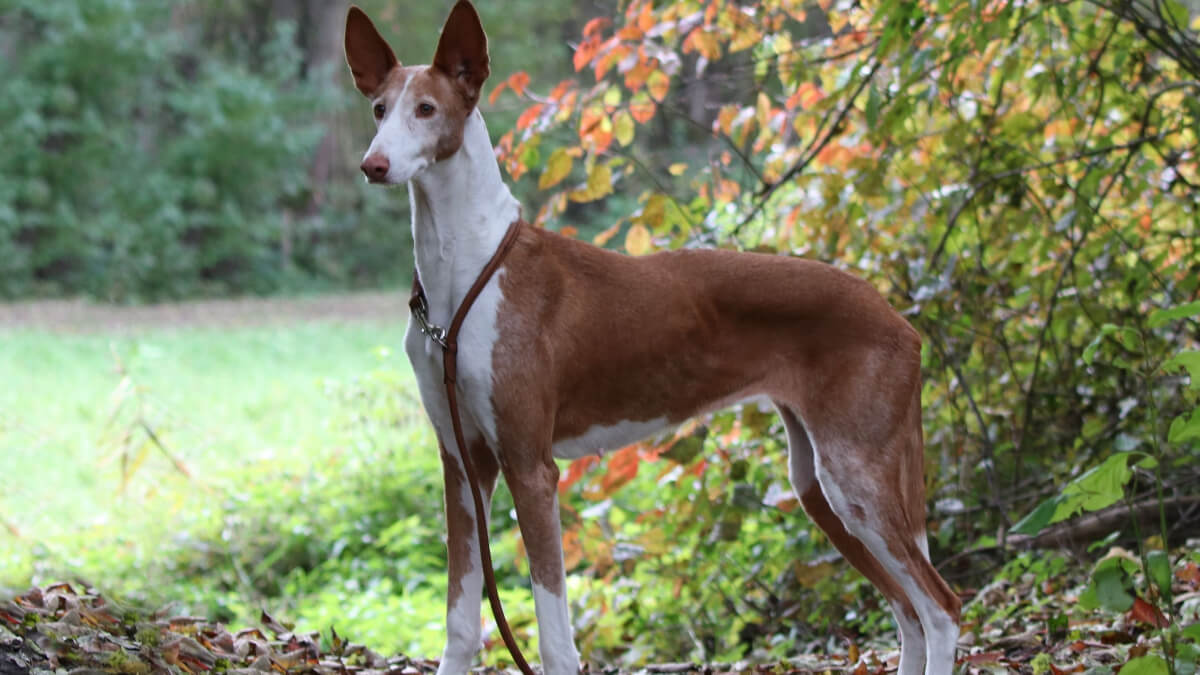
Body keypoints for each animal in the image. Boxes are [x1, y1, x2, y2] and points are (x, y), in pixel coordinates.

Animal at [343, 2, 960, 667]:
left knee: (940, 608)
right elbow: (460, 626)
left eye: (427, 109)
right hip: (820, 485)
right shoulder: (463, 466)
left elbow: (555, 639)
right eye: (379, 109)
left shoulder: (530, 467)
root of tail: (899, 321)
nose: (373, 165)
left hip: (855, 478)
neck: (466, 272)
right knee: (908, 613)